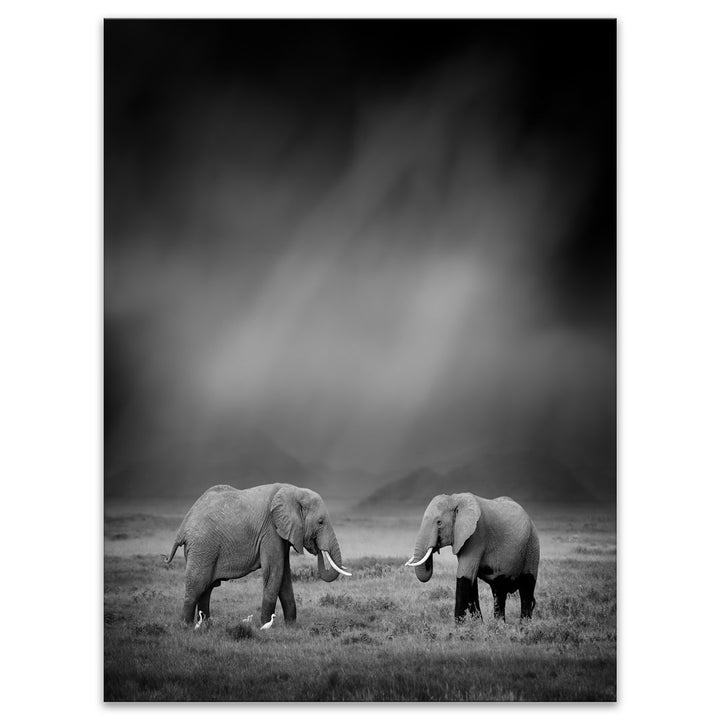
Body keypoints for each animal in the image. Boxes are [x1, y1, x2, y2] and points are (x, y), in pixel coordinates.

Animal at [163, 483, 351, 625]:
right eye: (320, 522)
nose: (316, 547)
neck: (293, 490)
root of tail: (184, 524)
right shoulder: (270, 531)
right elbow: (275, 572)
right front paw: (266, 625)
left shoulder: (280, 533)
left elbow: (284, 575)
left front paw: (290, 626)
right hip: (202, 546)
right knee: (197, 584)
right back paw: (187, 626)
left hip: (202, 549)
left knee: (206, 588)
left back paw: (206, 624)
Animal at [405, 493, 539, 623]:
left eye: (439, 522)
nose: (434, 548)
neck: (454, 499)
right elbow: (471, 581)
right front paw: (478, 626)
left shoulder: (476, 535)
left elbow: (464, 577)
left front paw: (461, 628)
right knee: (499, 592)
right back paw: (499, 626)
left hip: (532, 546)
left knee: (527, 588)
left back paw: (524, 627)